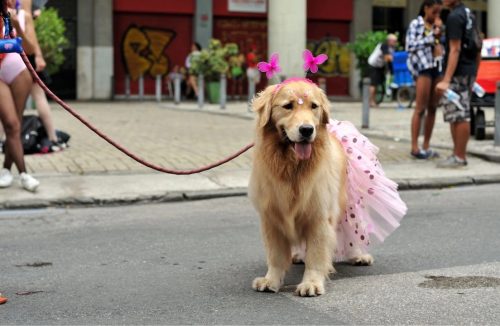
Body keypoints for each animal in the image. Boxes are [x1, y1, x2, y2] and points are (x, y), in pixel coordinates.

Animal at [249, 78, 372, 296]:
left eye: (314, 106)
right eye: (288, 106)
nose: (307, 130)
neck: (291, 166)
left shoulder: (319, 217)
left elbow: (316, 255)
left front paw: (311, 283)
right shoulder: (271, 217)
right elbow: (276, 255)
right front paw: (271, 280)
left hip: (348, 206)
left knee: (354, 231)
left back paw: (358, 255)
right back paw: (298, 255)